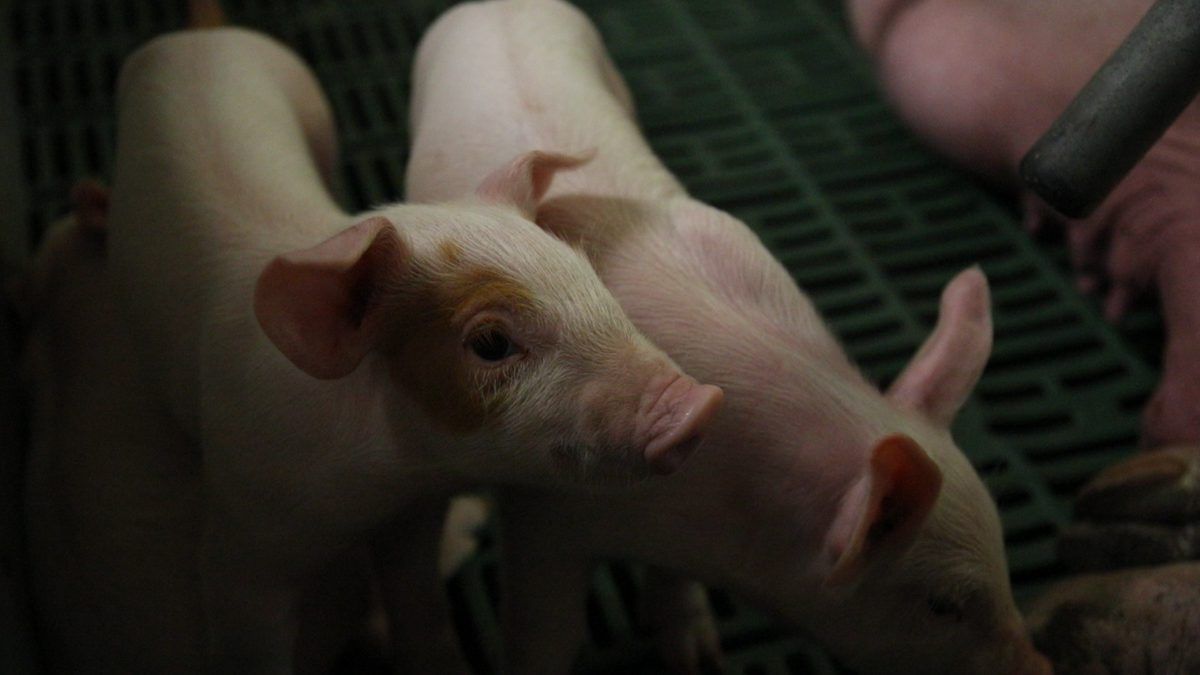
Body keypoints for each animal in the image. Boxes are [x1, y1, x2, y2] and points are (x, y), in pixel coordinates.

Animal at [61, 20, 721, 673]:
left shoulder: (409, 515)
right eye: (490, 343)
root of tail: (207, 33)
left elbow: (419, 602)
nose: (700, 403)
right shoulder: (242, 535)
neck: (371, 482)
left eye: (586, 272)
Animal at [406, 1, 1050, 673]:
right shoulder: (540, 517)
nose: (1043, 665)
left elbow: (670, 583)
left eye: (1004, 556)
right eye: (942, 605)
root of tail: (495, 6)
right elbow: (543, 630)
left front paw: (698, 657)